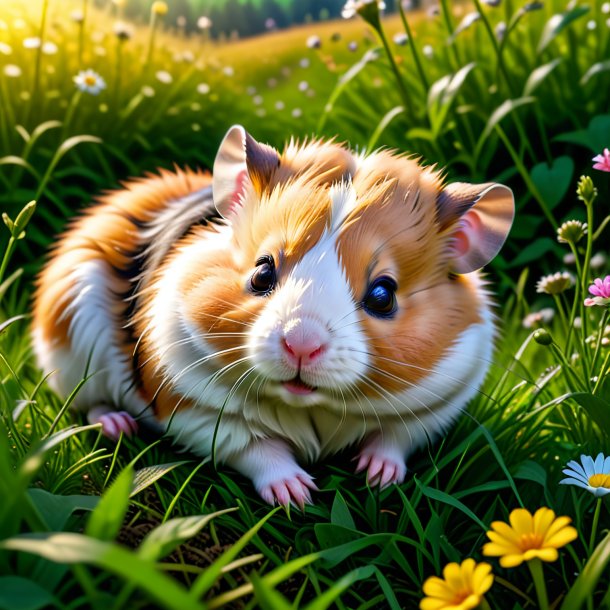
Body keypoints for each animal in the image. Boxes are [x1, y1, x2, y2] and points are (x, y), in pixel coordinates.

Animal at [30, 124, 510, 504]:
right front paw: (297, 496)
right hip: (72, 345)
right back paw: (119, 426)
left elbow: (394, 439)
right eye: (262, 271)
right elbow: (258, 449)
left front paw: (377, 478)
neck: (313, 407)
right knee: (88, 404)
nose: (301, 343)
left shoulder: (436, 408)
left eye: (383, 295)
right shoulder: (191, 411)